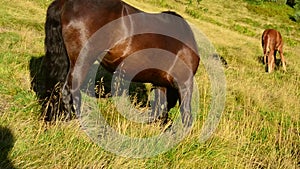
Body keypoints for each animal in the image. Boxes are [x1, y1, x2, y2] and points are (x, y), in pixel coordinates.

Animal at [39, 0, 199, 127]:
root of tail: (65, 3)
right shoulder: (185, 83)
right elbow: (186, 114)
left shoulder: (160, 84)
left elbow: (160, 110)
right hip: (82, 60)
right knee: (69, 90)